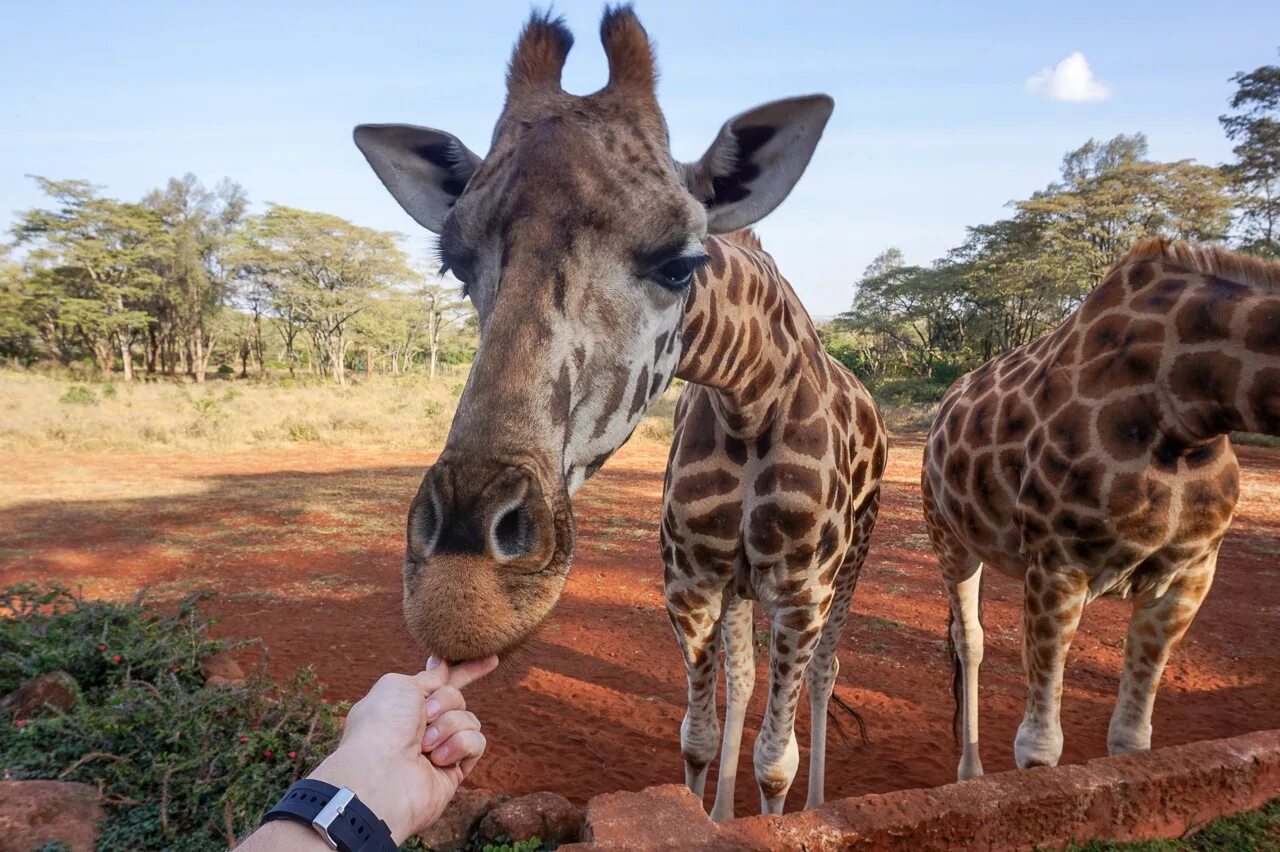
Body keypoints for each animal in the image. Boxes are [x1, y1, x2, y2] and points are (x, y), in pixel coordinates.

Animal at [665, 227, 885, 818]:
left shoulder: (800, 594)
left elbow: (775, 763)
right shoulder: (692, 583)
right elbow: (697, 737)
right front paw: (706, 819)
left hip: (854, 556)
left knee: (824, 672)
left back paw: (816, 804)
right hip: (739, 587)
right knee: (742, 679)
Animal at [921, 236, 1280, 777]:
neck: (1193, 410)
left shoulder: (1192, 572)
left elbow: (1132, 740)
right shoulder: (1057, 564)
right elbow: (1039, 748)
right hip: (948, 534)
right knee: (970, 641)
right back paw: (970, 774)